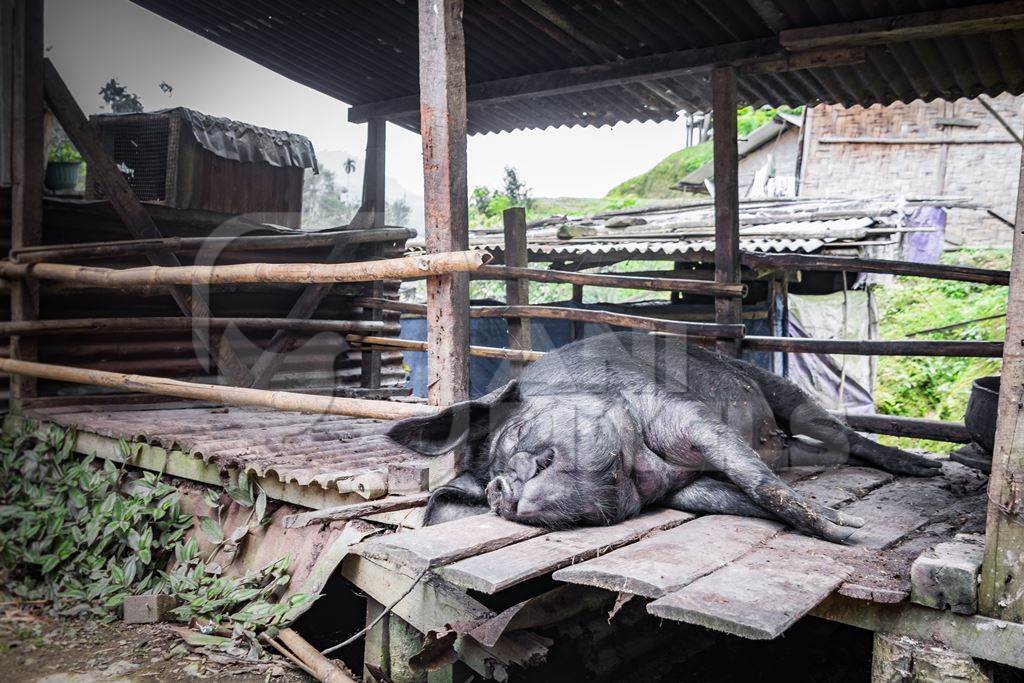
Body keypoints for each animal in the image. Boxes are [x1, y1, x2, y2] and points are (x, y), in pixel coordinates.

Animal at [387, 331, 937, 544]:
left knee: (838, 432)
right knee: (813, 451)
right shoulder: (687, 490)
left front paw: (848, 529)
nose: (501, 487)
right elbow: (737, 498)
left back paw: (930, 468)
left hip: (777, 389)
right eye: (487, 486)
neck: (650, 470)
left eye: (516, 435)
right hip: (790, 446)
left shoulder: (681, 412)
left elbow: (752, 476)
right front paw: (845, 526)